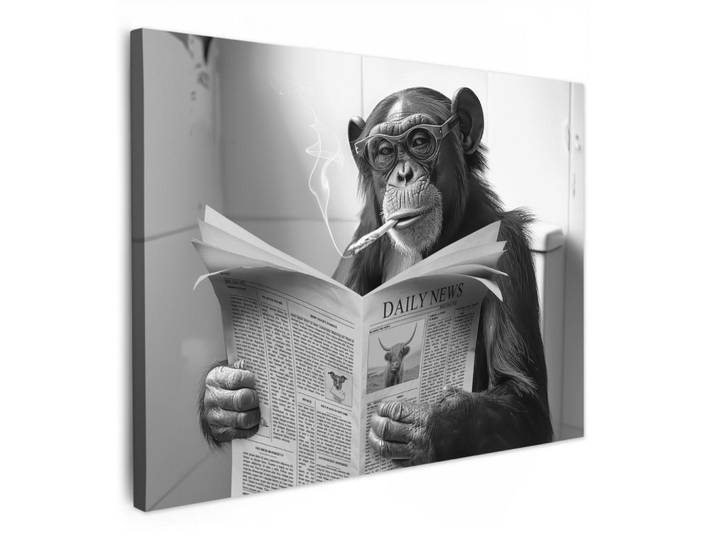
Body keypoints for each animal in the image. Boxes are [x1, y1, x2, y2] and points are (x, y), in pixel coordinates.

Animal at [199, 87, 552, 464]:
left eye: (420, 141)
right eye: (384, 152)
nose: (403, 174)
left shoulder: (508, 250)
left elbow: (526, 403)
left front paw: (421, 424)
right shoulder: (363, 234)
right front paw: (224, 396)